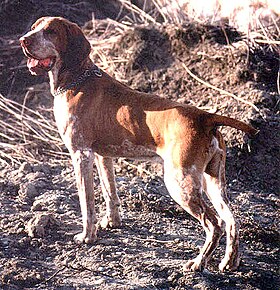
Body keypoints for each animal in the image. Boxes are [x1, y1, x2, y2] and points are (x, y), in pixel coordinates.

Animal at [19, 17, 258, 272]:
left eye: (51, 32)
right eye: (34, 27)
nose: (23, 40)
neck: (77, 79)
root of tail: (205, 116)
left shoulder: (81, 155)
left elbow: (87, 202)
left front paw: (87, 237)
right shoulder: (103, 156)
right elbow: (110, 193)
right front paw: (111, 223)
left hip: (180, 183)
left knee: (214, 224)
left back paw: (198, 262)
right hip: (213, 182)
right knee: (232, 220)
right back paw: (229, 262)